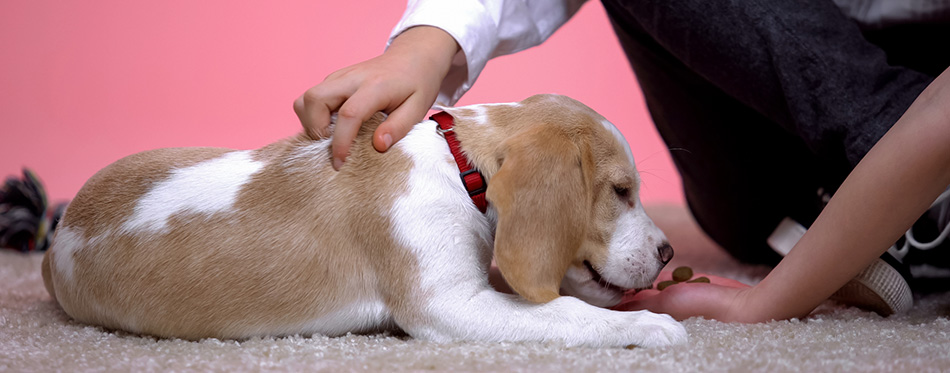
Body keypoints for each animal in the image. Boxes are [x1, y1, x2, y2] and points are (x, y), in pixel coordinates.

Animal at [42, 94, 684, 348]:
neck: (459, 165)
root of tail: (54, 244)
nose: (669, 253)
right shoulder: (450, 306)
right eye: (621, 192)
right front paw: (653, 325)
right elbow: (570, 313)